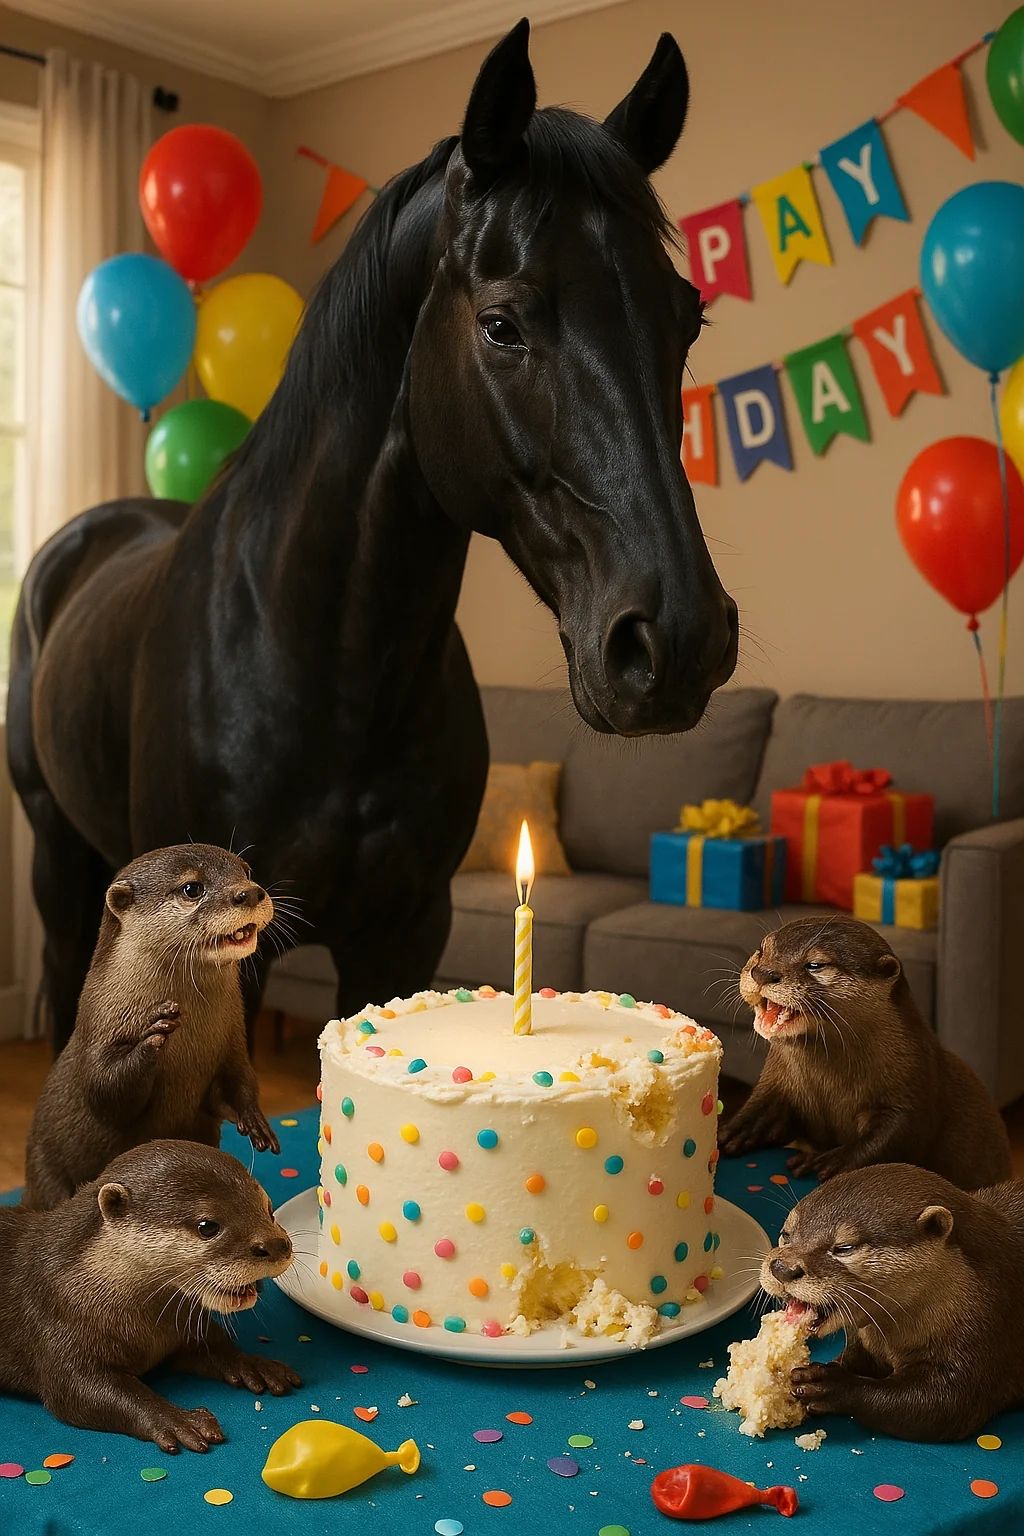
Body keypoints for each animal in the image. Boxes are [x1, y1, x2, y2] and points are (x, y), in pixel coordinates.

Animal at [1, 1140, 299, 1450]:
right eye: (207, 1226)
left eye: (268, 1208)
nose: (277, 1245)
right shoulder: (55, 1320)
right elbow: (77, 1392)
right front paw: (178, 1420)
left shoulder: (181, 1327)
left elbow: (213, 1345)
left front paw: (254, 1364)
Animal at [8, 20, 738, 1055]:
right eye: (502, 324)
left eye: (688, 320)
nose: (677, 642)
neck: (326, 662)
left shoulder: (404, 934)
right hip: (57, 852)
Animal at [25, 844, 280, 1209]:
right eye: (192, 888)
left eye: (246, 871)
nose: (250, 892)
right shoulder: (95, 1030)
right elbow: (104, 1091)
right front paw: (151, 1034)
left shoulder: (234, 1042)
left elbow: (239, 1081)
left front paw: (255, 1119)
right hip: (45, 1174)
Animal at [719, 915, 1011, 1189]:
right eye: (761, 950)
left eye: (816, 965)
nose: (762, 973)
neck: (830, 1083)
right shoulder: (779, 1084)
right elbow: (764, 1113)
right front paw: (731, 1132)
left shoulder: (917, 1082)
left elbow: (898, 1135)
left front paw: (829, 1160)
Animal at [760, 1163, 1024, 1442]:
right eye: (786, 1235)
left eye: (844, 1247)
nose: (782, 1267)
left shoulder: (988, 1329)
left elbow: (945, 1405)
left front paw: (829, 1383)